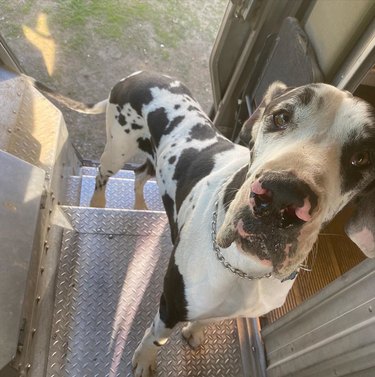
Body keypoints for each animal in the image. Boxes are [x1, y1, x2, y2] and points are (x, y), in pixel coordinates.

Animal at [32, 71, 375, 376]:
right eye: (281, 117)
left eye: (362, 158)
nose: (282, 198)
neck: (243, 268)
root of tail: (135, 75)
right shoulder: (171, 303)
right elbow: (155, 338)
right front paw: (143, 361)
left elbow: (209, 319)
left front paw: (196, 330)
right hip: (117, 150)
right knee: (103, 176)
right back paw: (99, 203)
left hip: (153, 157)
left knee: (141, 175)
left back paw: (141, 205)